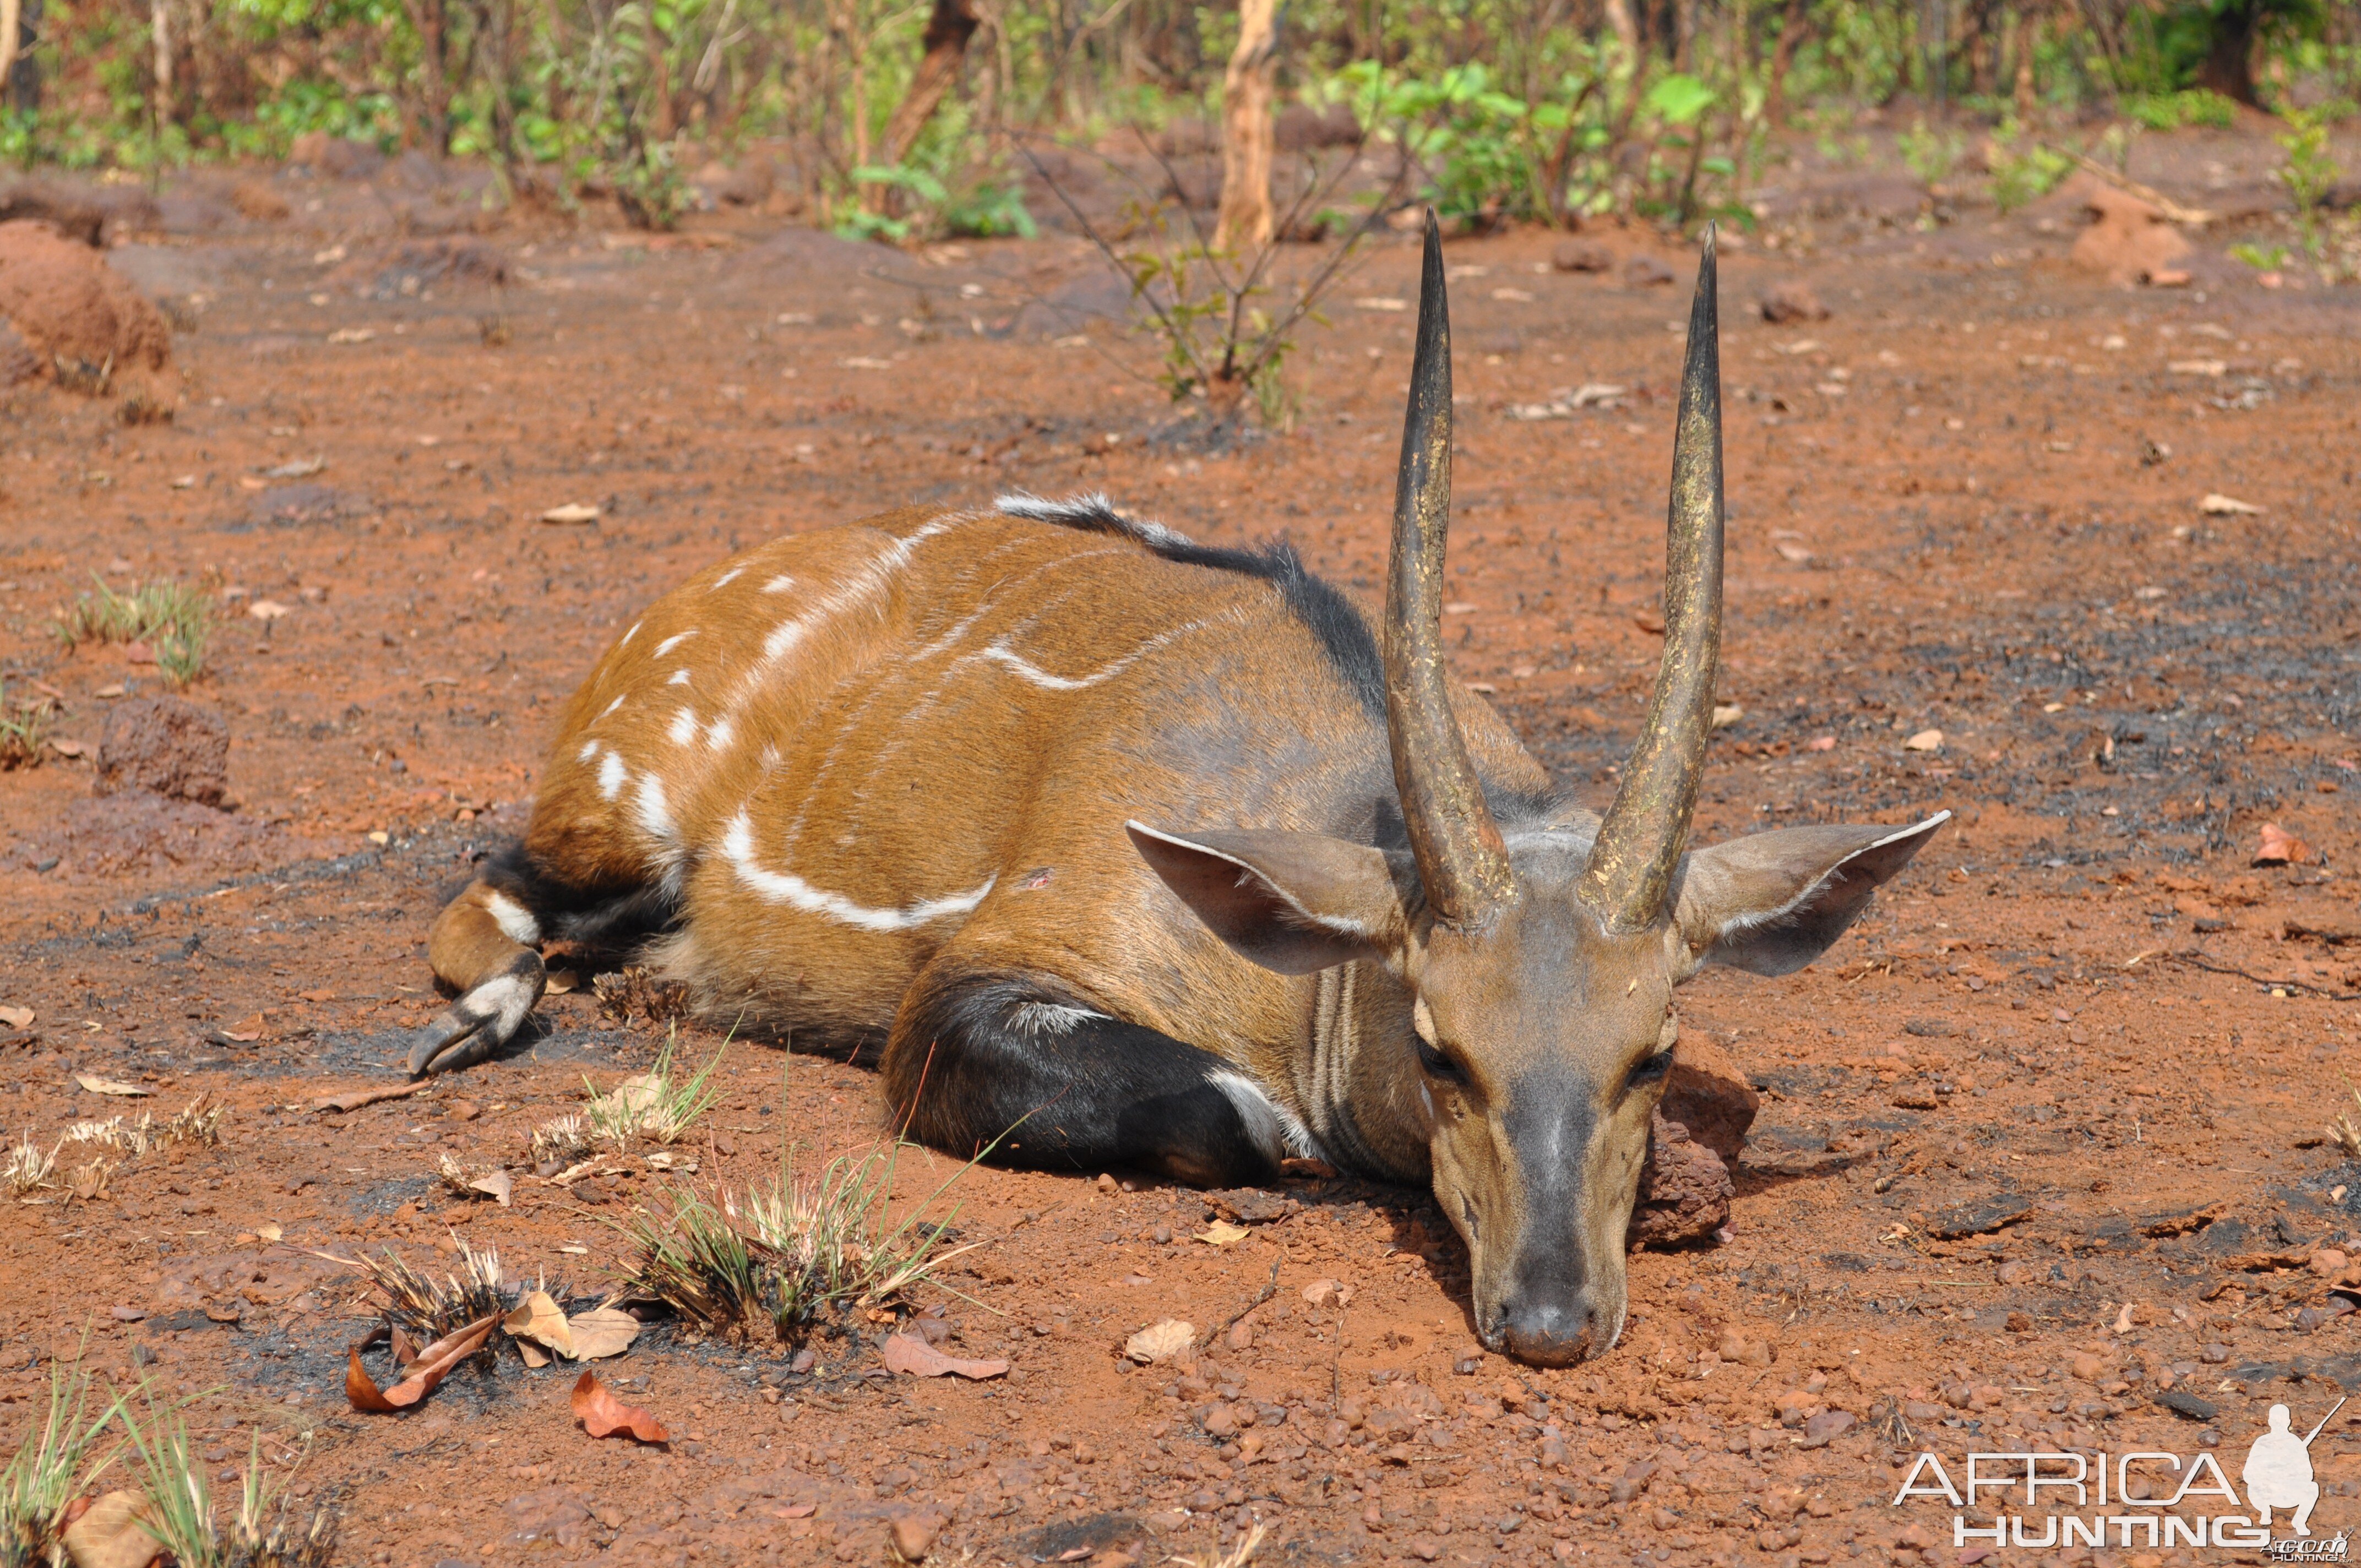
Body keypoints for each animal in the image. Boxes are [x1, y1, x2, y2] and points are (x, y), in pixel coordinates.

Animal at [415, 221, 1945, 1360]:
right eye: (1440, 1050)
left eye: (1655, 1052)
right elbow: (1234, 1113)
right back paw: (486, 1020)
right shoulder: (977, 985)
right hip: (619, 821)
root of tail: (686, 599)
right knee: (490, 888)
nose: (1552, 1318)